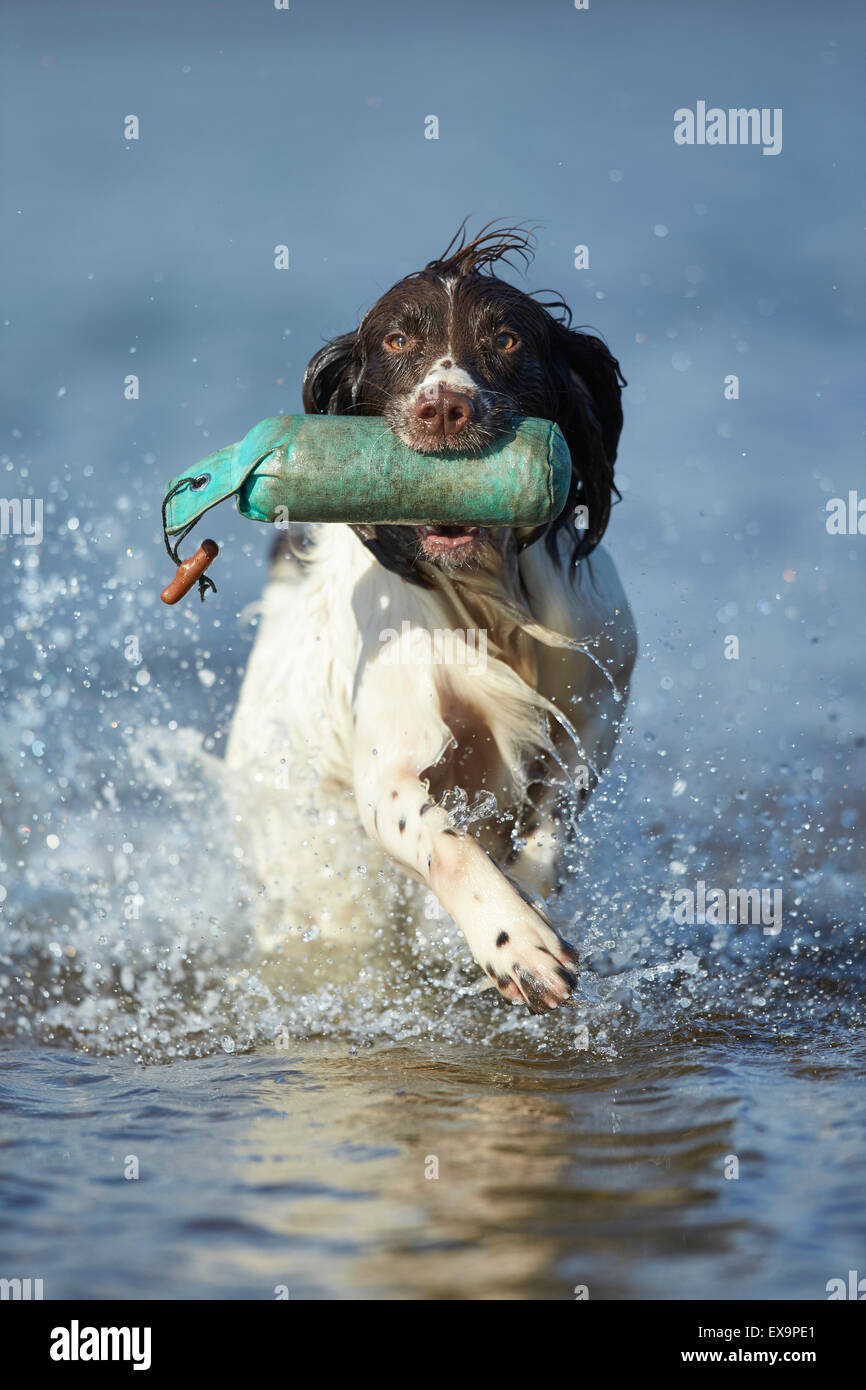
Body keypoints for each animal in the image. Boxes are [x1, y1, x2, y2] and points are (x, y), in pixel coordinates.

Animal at [226, 225, 639, 1011]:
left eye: (505, 338)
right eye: (395, 340)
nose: (444, 407)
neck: (485, 601)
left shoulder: (596, 702)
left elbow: (553, 820)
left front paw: (530, 898)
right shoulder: (390, 764)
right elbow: (444, 842)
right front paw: (515, 940)